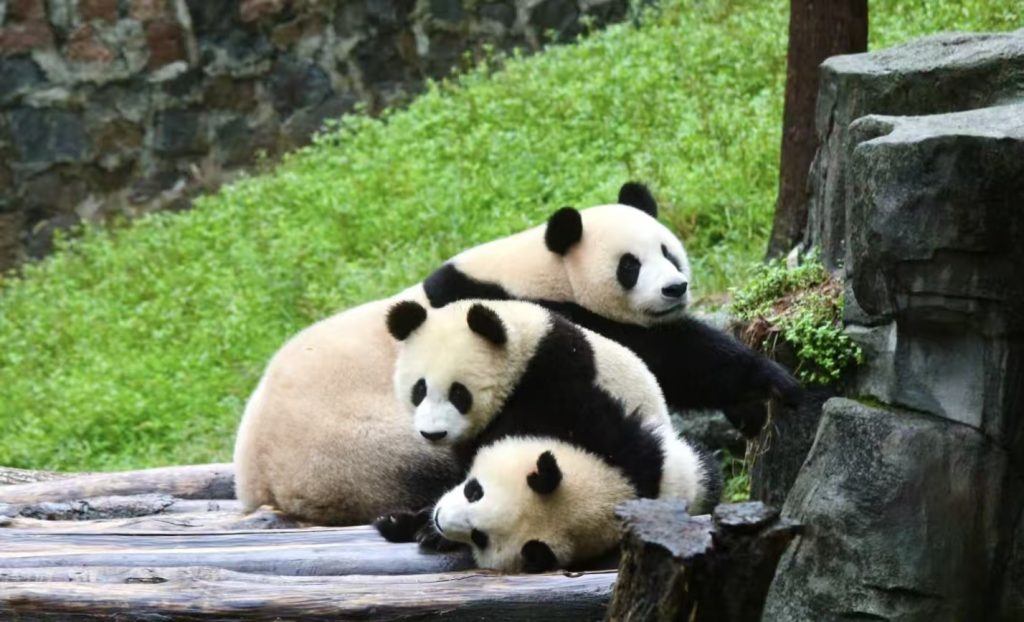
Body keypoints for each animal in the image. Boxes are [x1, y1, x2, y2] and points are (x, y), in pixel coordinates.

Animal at [374, 299, 721, 546]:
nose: (433, 433)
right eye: (419, 389)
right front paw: (416, 522)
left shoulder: (555, 376)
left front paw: (434, 532)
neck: (527, 345)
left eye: (459, 393)